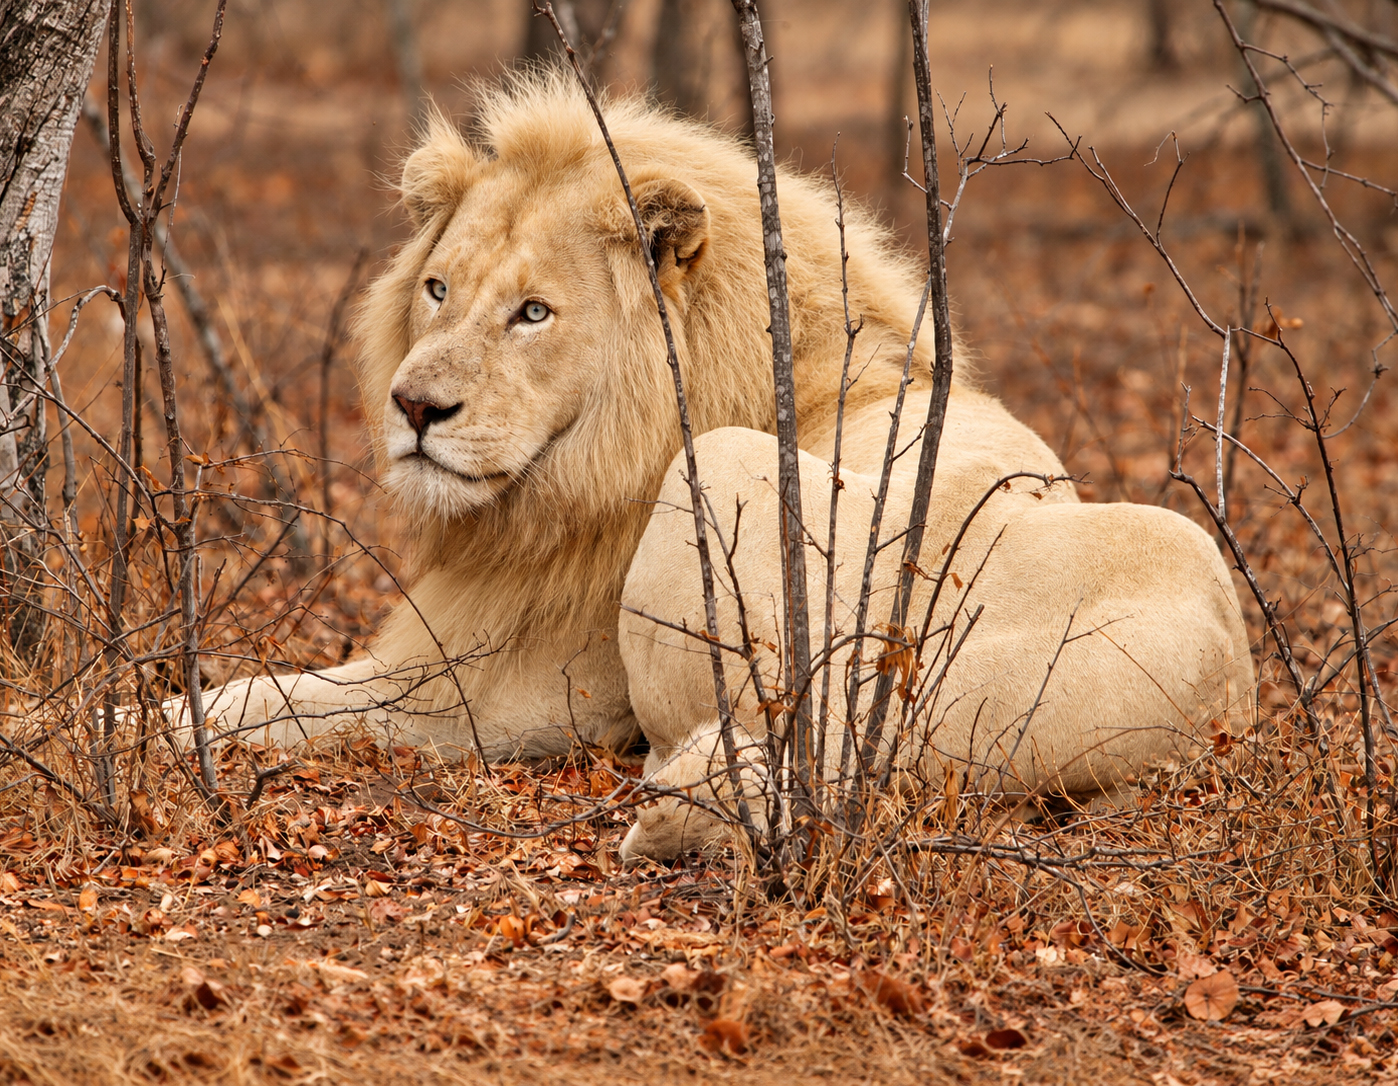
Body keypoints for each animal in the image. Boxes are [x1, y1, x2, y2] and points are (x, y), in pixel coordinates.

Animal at [191, 71, 1253, 860]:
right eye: (438, 290)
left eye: (533, 312)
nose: (413, 409)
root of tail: (1224, 677)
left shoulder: (500, 693)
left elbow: (261, 702)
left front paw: (159, 717)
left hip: (749, 532)